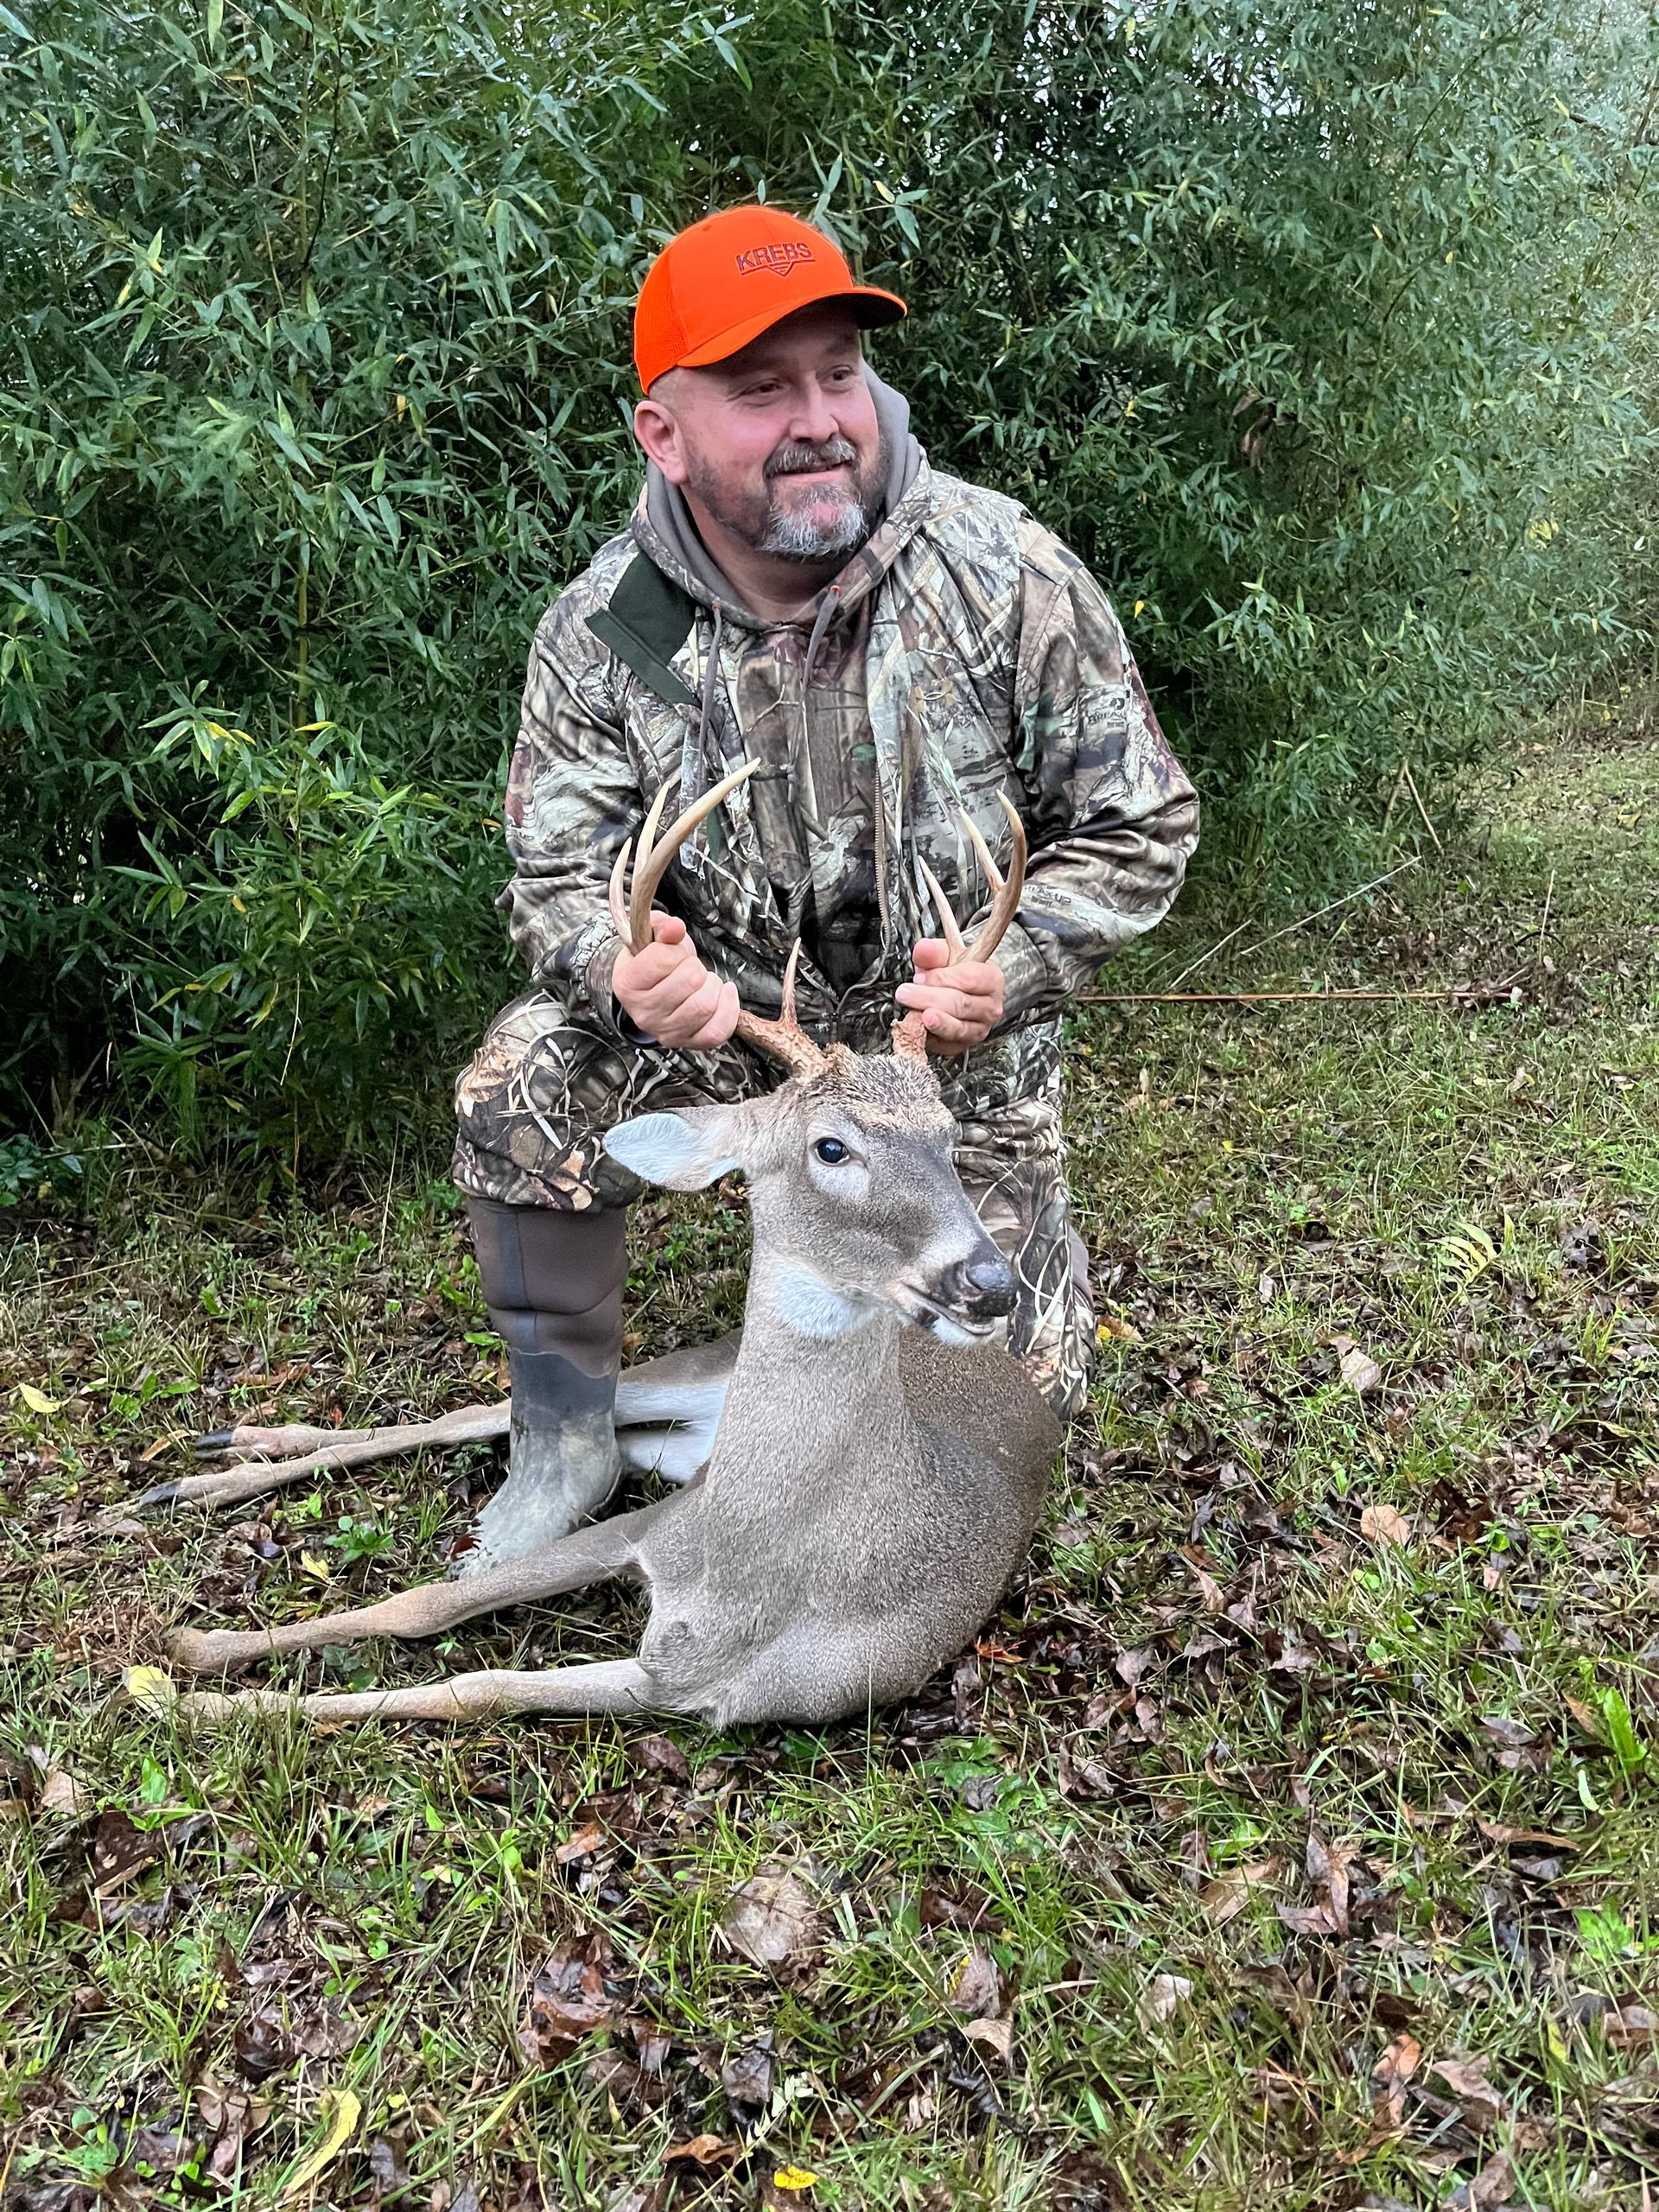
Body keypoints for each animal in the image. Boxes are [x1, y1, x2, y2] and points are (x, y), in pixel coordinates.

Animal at [149, 769, 1062, 1730]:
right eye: (831, 1147)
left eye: (949, 1134)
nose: (990, 1282)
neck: (742, 1566)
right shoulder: (648, 1530)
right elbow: (422, 1604)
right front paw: (194, 1660)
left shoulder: (689, 1687)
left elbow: (475, 1688)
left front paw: (209, 1698)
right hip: (696, 1371)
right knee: (483, 1414)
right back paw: (207, 1469)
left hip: (679, 1446)